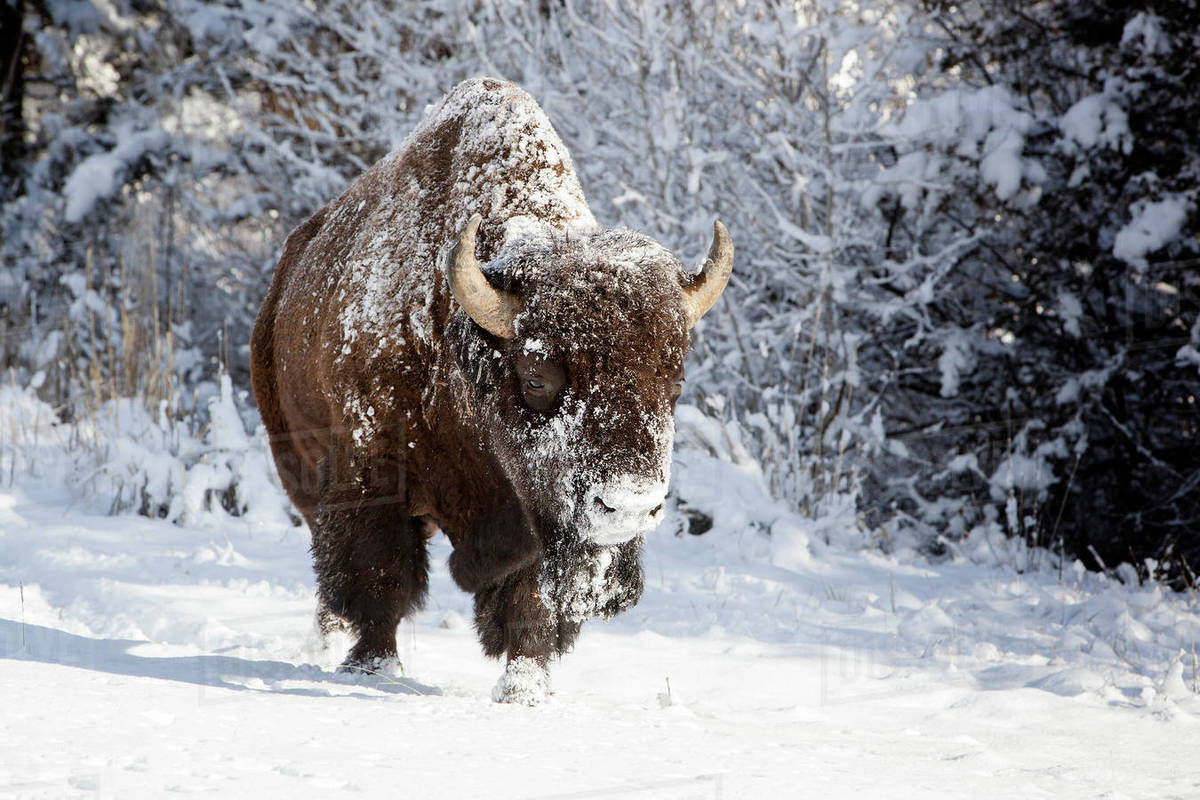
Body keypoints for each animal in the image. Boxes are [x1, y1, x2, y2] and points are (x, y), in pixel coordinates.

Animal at [250, 77, 732, 703]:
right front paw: (372, 668)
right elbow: (379, 579)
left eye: (674, 380)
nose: (627, 505)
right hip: (300, 473)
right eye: (537, 377)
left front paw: (525, 690)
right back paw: (331, 649)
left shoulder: (531, 517)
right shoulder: (369, 478)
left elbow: (528, 602)